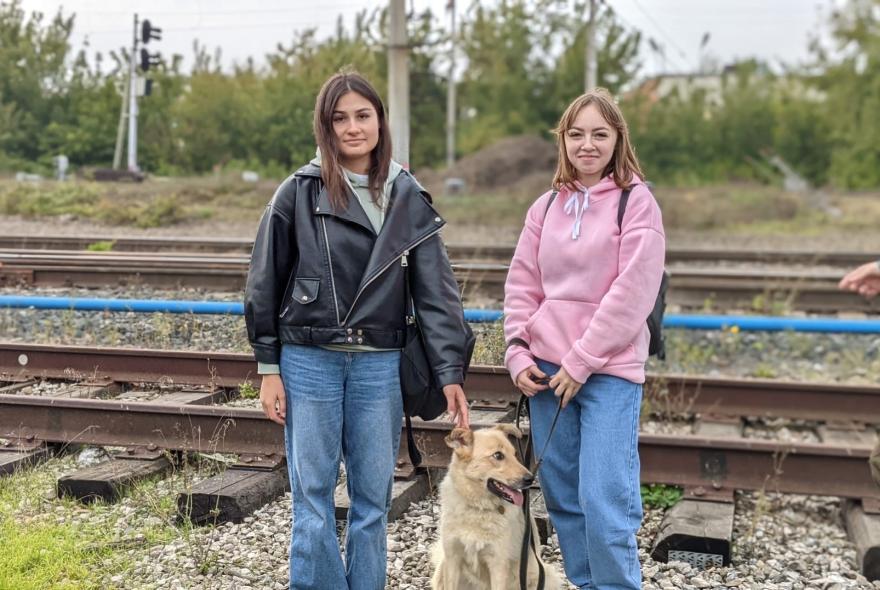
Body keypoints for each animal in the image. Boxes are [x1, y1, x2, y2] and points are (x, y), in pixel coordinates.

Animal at [434, 428, 564, 590]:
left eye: (515, 454)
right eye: (498, 455)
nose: (530, 479)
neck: (478, 507)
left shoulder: (498, 565)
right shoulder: (452, 559)